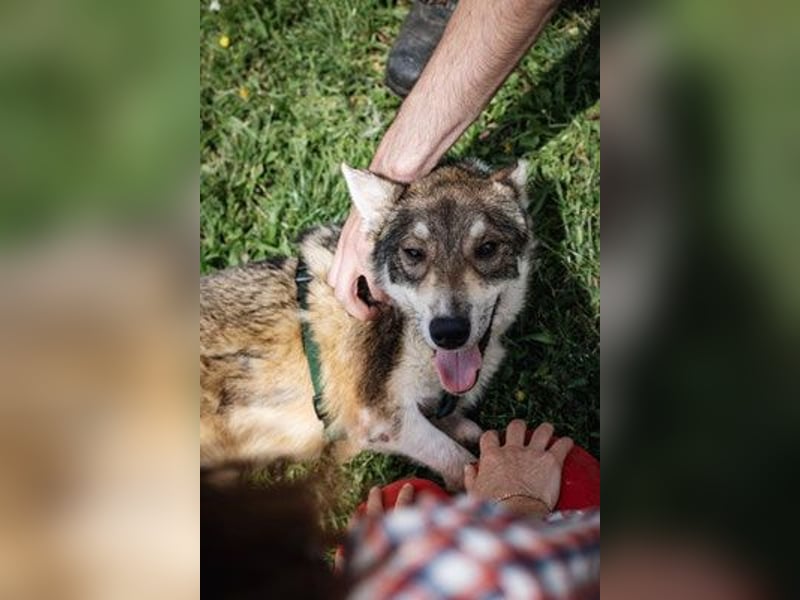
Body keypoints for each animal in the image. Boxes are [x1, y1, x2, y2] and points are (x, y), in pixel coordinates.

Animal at [200, 159, 534, 489]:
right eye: (414, 253)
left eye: (487, 248)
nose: (448, 332)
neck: (404, 328)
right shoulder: (377, 419)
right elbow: (459, 460)